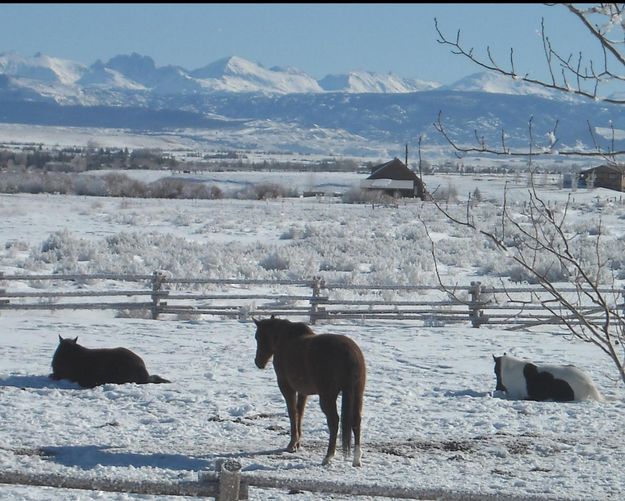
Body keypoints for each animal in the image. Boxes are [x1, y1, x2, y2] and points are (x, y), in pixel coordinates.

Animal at [251, 316, 364, 464]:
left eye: (258, 337)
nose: (258, 362)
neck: (284, 340)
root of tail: (350, 353)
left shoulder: (287, 388)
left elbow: (292, 413)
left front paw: (292, 444)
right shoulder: (303, 392)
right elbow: (300, 412)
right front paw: (298, 443)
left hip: (327, 397)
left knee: (334, 421)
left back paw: (328, 456)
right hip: (357, 393)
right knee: (356, 420)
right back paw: (357, 459)